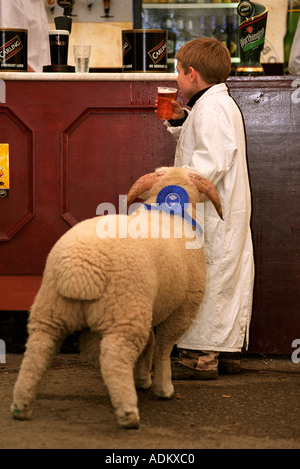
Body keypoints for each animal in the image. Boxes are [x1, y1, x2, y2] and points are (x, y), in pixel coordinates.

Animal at [10, 166, 221, 430]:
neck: (170, 214)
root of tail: (80, 265)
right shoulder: (183, 309)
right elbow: (162, 346)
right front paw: (164, 388)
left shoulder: (150, 306)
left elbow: (150, 343)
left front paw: (143, 379)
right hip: (125, 309)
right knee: (114, 355)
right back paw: (128, 412)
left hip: (53, 308)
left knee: (40, 350)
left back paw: (21, 406)